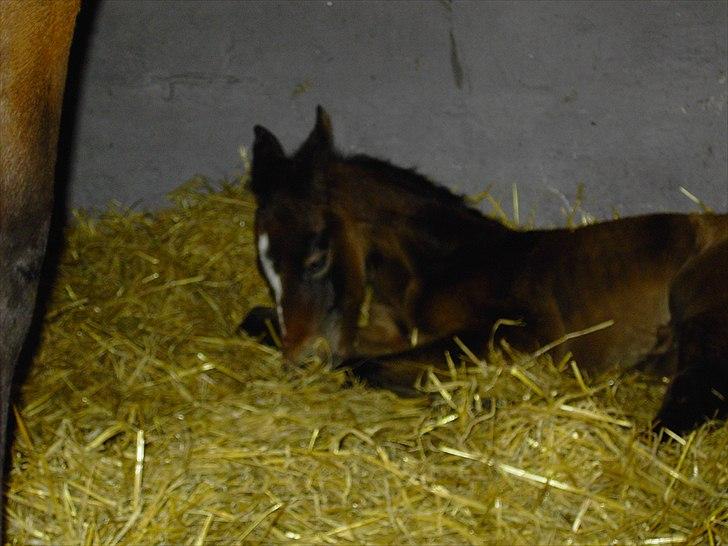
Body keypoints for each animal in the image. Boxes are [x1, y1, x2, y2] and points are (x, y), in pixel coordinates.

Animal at [240, 106, 728, 434]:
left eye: (316, 259)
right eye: (265, 266)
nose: (300, 358)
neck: (440, 266)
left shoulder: (513, 333)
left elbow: (360, 367)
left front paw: (470, 401)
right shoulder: (391, 330)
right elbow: (261, 323)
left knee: (680, 417)